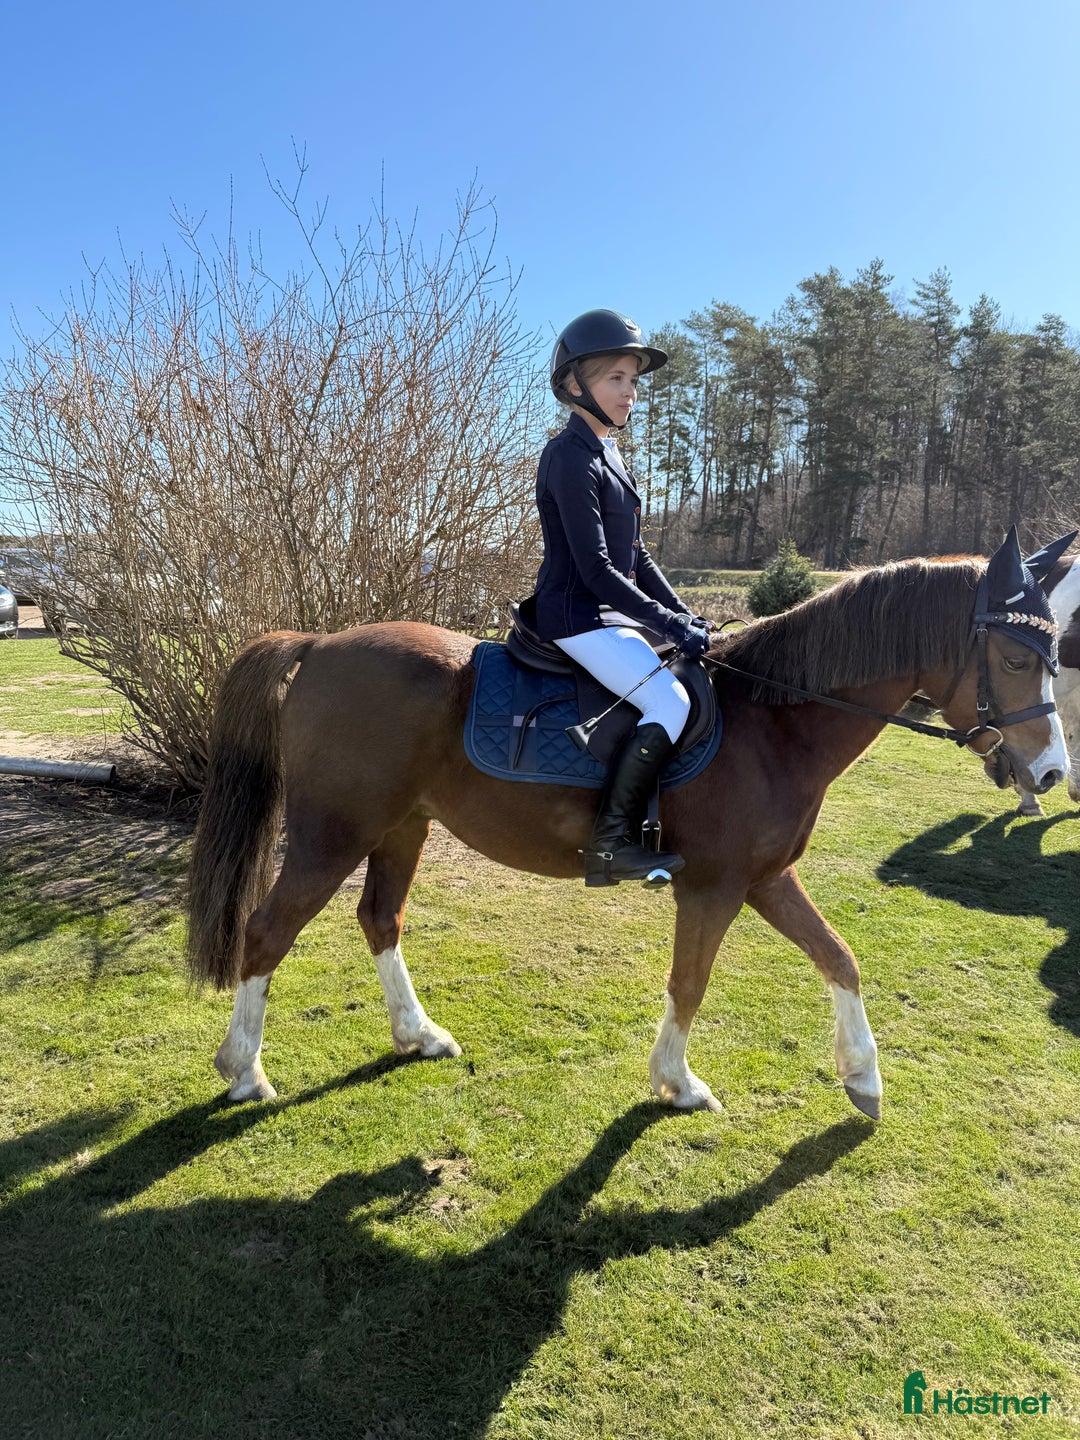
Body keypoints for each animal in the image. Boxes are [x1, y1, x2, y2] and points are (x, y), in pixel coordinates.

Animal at [186, 536, 1068, 1122]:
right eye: (1017, 659)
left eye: (1054, 653)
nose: (1053, 773)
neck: (773, 723)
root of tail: (320, 643)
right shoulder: (713, 888)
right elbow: (690, 982)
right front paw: (678, 1083)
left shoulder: (766, 879)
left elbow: (840, 958)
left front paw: (863, 1080)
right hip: (332, 834)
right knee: (266, 933)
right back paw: (244, 1072)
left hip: (403, 828)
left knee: (380, 919)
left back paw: (419, 1034)